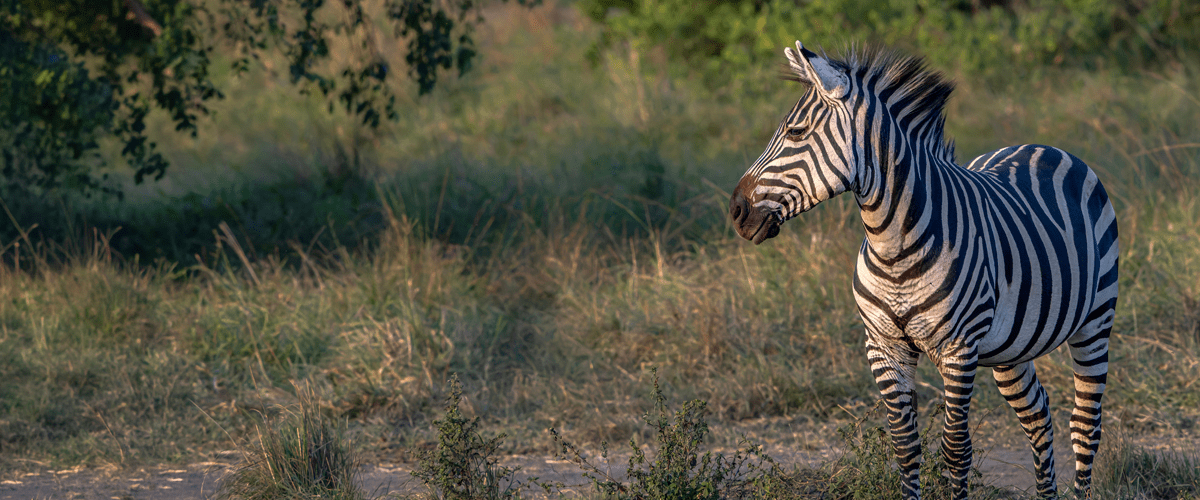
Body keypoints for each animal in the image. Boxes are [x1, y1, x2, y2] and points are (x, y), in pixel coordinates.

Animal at [729, 42, 1118, 499]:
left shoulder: (958, 348)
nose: (736, 211)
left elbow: (956, 449)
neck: (893, 246)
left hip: (1095, 320)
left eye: (795, 133)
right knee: (1038, 416)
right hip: (1010, 347)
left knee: (1085, 425)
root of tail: (1044, 147)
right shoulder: (883, 345)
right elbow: (905, 447)